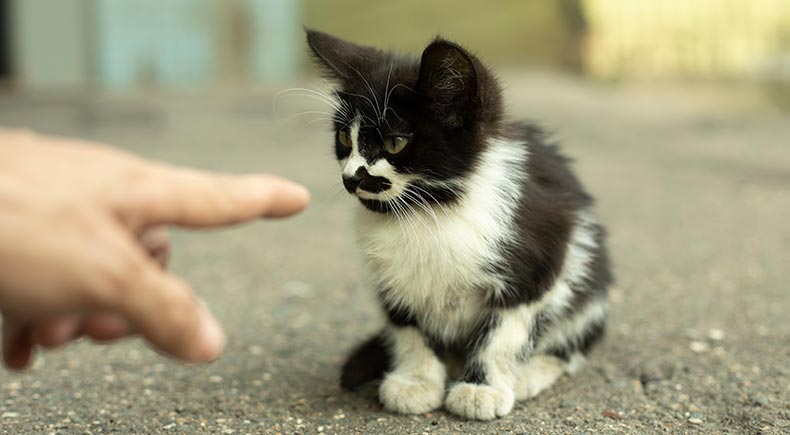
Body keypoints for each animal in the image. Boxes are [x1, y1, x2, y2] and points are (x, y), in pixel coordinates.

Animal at [306, 30, 616, 422]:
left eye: (395, 142)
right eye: (345, 139)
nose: (351, 178)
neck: (430, 210)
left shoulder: (541, 249)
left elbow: (505, 332)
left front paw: (481, 388)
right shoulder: (392, 277)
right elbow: (409, 327)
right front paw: (416, 381)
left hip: (589, 281)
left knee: (571, 342)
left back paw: (532, 372)